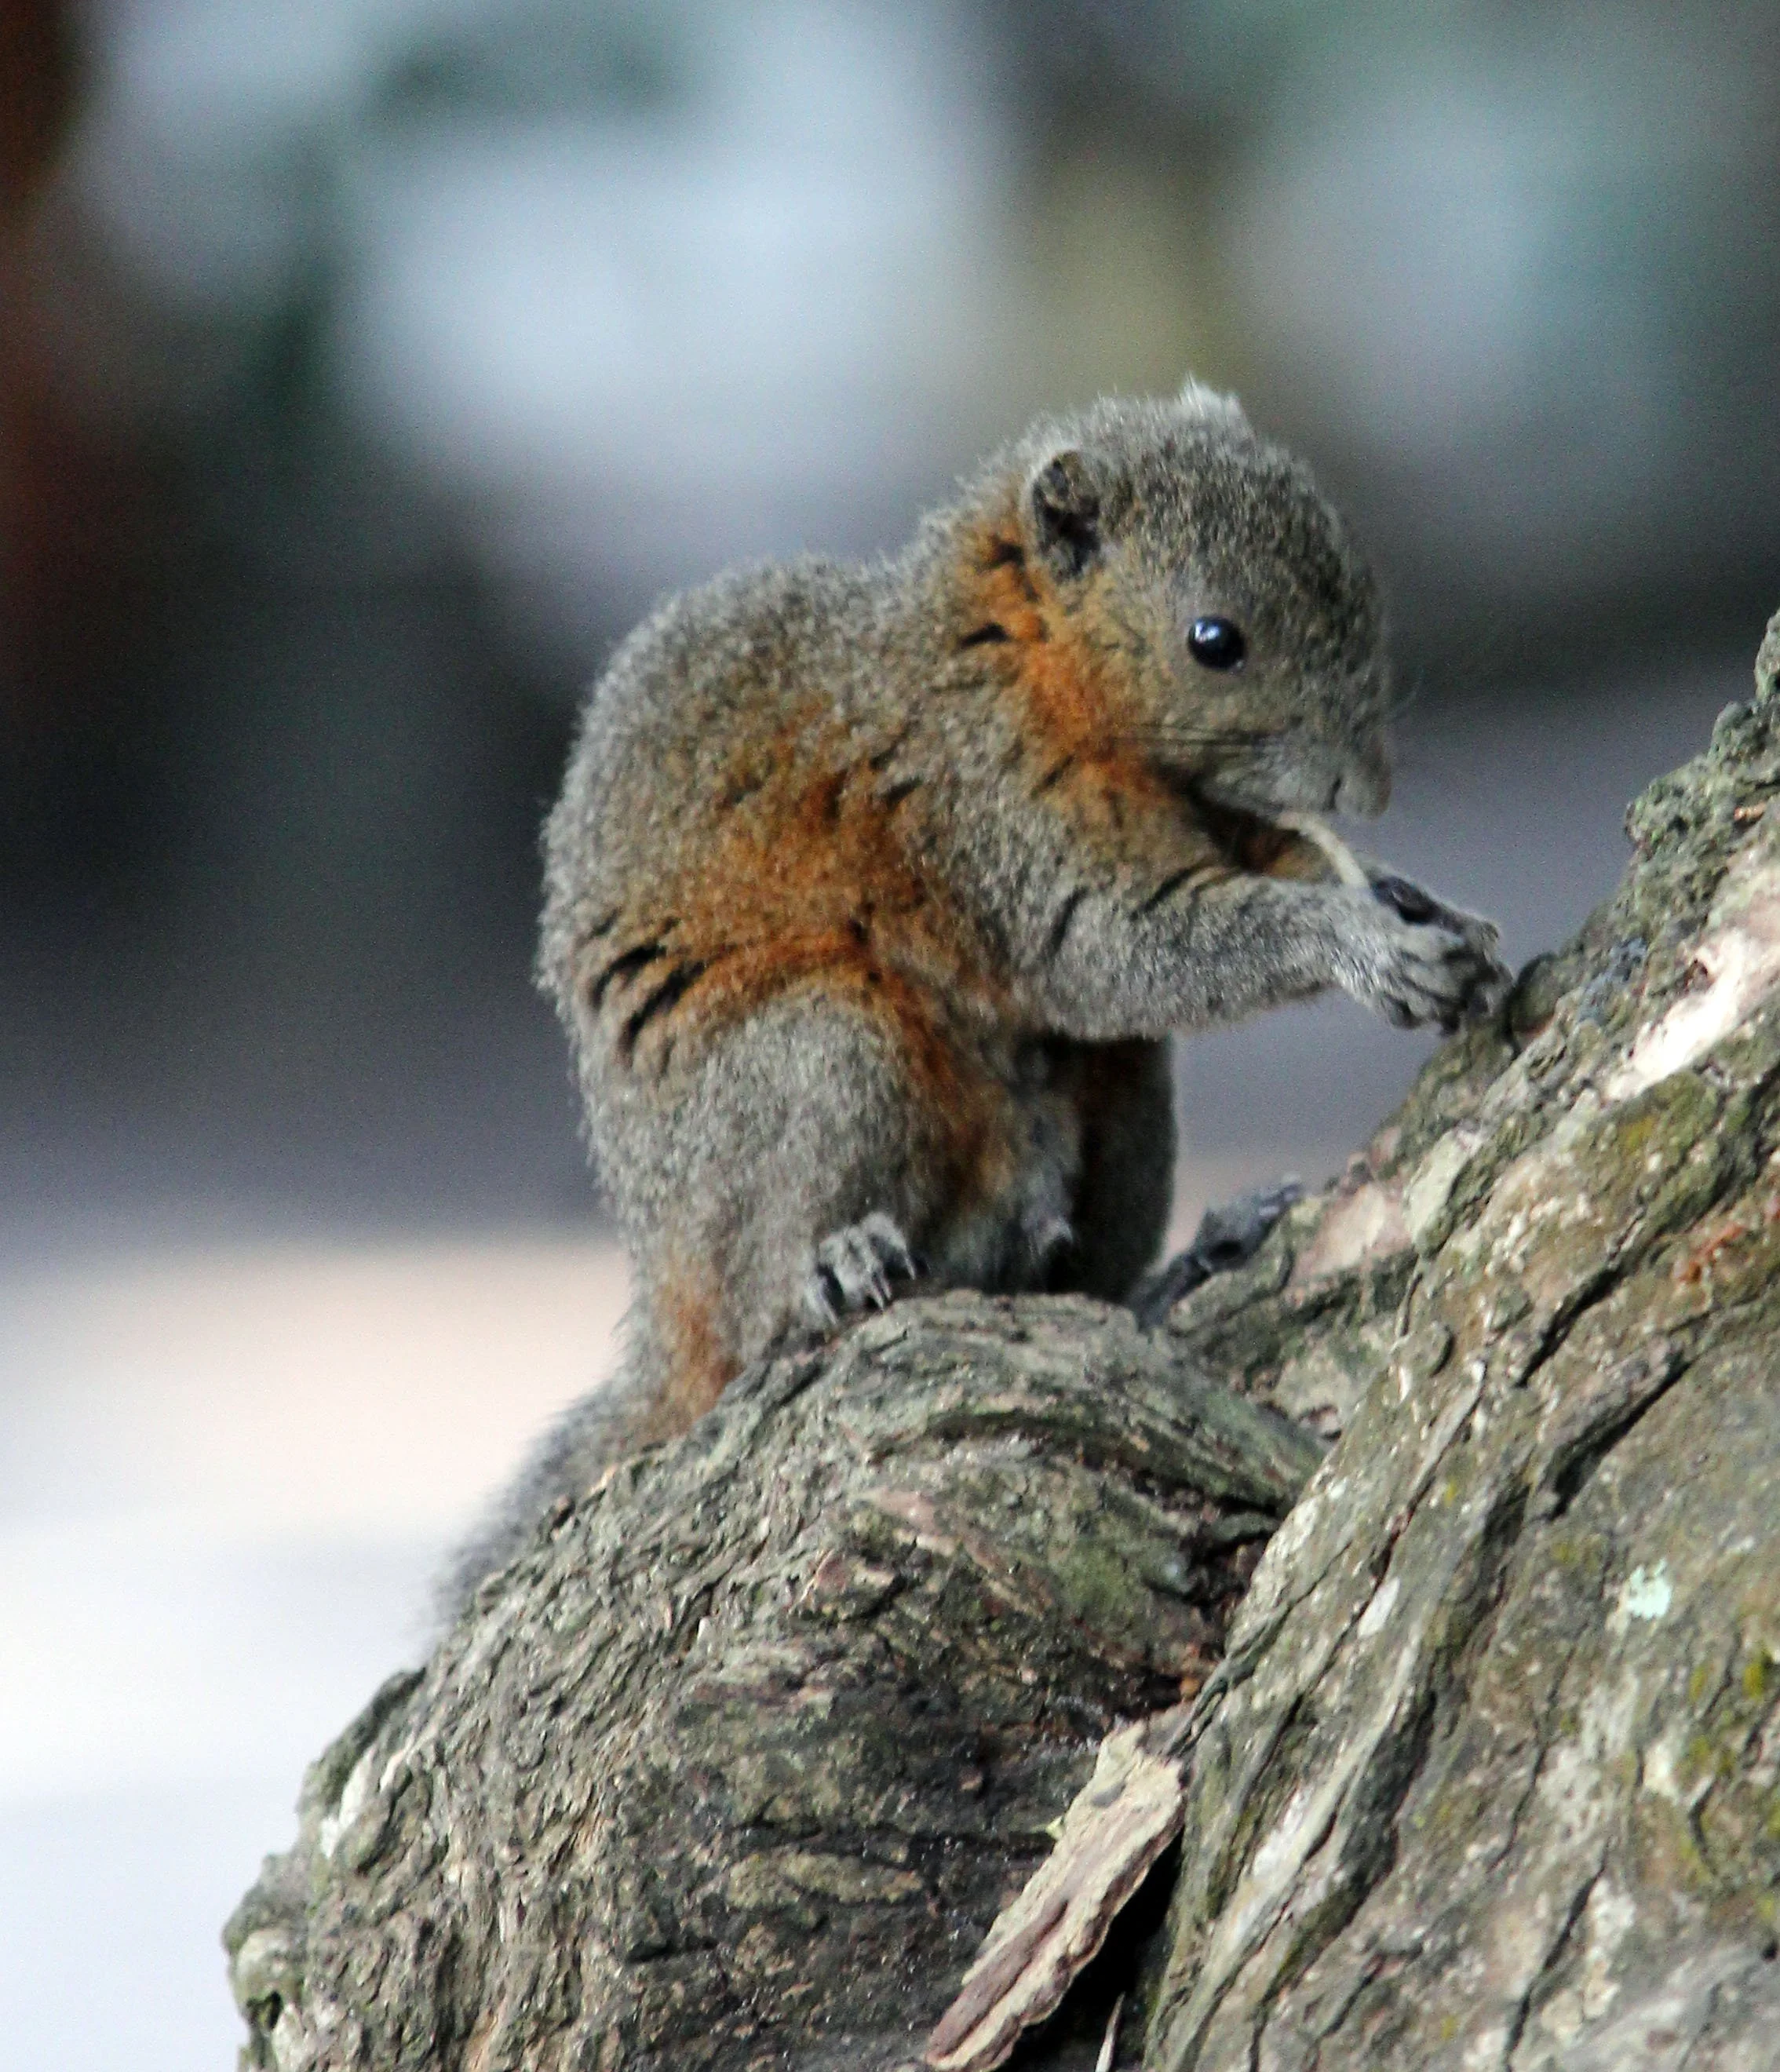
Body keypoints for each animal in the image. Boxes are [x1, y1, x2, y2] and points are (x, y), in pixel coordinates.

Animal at [440, 382, 1510, 1613]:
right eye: (1215, 642)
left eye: (1358, 577)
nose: (1366, 787)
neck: (1031, 663)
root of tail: (665, 1310)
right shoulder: (984, 814)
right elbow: (1118, 952)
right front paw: (1360, 943)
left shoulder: (1208, 820)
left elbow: (1275, 866)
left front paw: (1418, 905)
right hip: (816, 1062)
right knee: (764, 1313)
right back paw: (830, 1269)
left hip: (1125, 1114)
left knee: (1082, 1271)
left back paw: (1181, 1266)